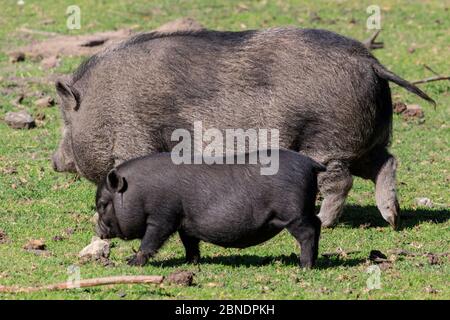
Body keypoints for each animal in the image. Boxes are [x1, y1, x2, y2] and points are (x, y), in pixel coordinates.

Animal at [52, 26, 436, 228]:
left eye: (67, 122)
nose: (55, 161)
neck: (106, 106)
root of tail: (370, 62)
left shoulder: (135, 144)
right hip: (363, 142)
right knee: (387, 162)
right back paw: (392, 218)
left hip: (327, 142)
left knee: (341, 181)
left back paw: (323, 221)